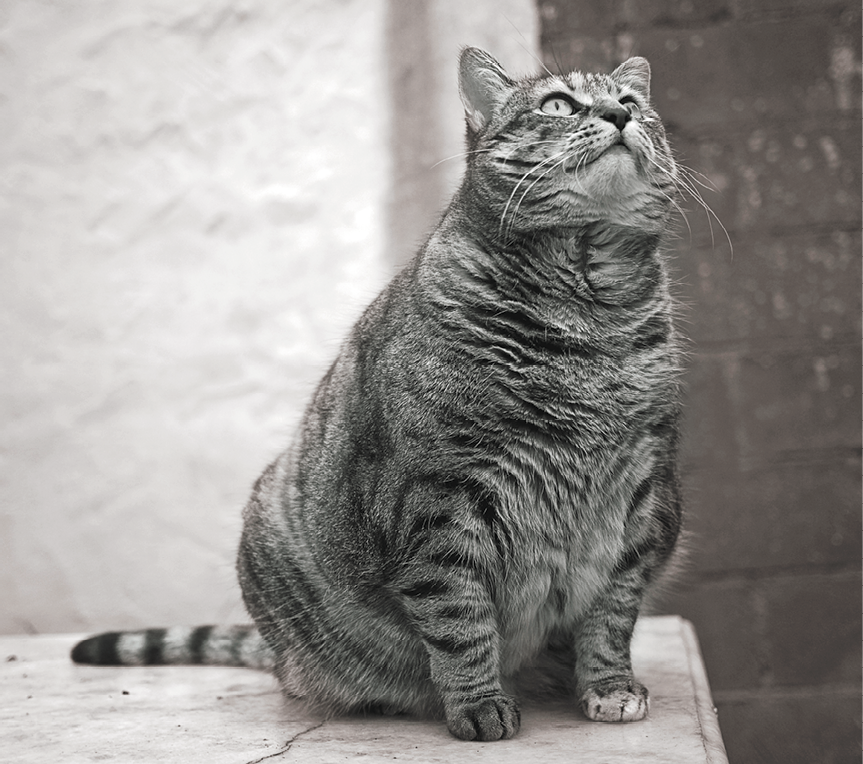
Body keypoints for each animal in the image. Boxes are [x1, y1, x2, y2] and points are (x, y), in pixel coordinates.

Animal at [71, 46, 684, 740]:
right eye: (558, 104)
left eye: (630, 103)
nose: (617, 114)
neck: (588, 312)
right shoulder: (438, 500)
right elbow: (459, 618)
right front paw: (478, 705)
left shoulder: (641, 496)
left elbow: (612, 615)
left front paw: (610, 688)